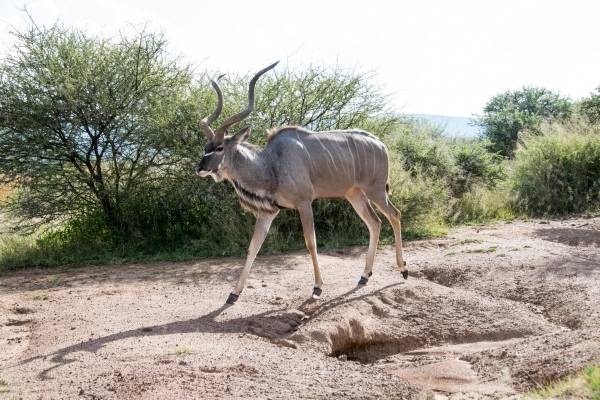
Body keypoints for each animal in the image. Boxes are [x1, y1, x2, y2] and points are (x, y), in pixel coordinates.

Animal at [197, 61, 408, 304]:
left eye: (220, 147)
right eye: (206, 146)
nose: (200, 168)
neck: (272, 163)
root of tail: (381, 144)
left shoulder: (304, 203)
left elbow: (310, 242)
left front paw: (317, 287)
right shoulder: (268, 212)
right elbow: (253, 247)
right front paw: (233, 294)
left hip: (376, 191)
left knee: (394, 215)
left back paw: (403, 269)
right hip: (354, 194)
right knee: (375, 222)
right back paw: (364, 276)